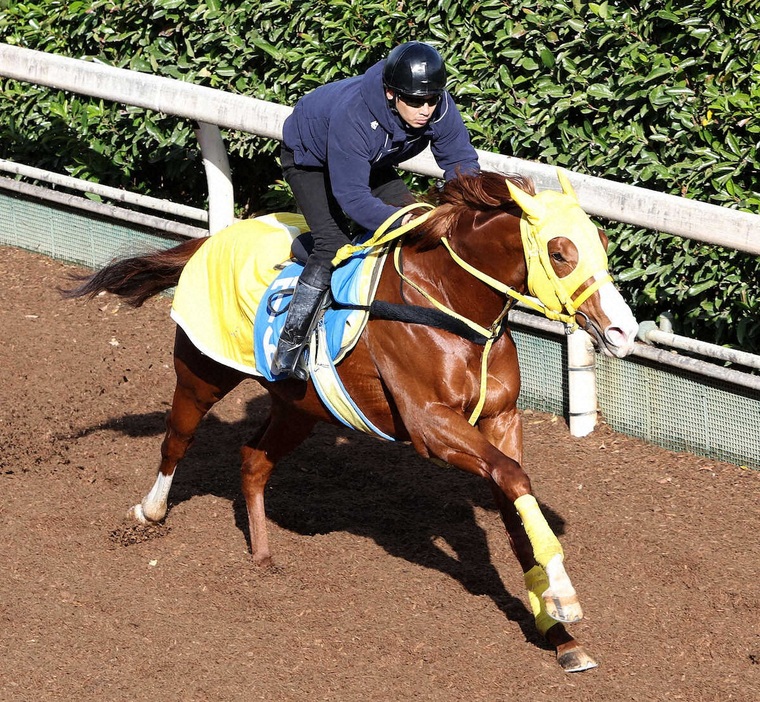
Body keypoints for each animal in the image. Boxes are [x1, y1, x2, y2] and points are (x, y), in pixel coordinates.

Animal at [65, 169, 640, 672]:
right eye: (560, 253)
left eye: (602, 243)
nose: (623, 331)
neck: (450, 305)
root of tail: (214, 237)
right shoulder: (430, 427)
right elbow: (514, 479)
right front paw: (563, 597)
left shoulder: (500, 421)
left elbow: (515, 498)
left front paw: (559, 634)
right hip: (203, 372)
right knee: (177, 439)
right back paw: (150, 511)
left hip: (298, 405)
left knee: (253, 459)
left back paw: (262, 557)